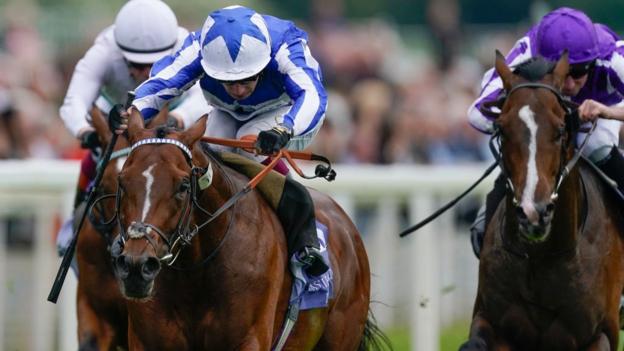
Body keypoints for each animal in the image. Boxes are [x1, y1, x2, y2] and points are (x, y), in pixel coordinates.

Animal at [458, 51, 624, 350]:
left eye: (560, 129)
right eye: (502, 129)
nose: (533, 213)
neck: (541, 258)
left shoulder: (602, 334)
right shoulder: (491, 321)